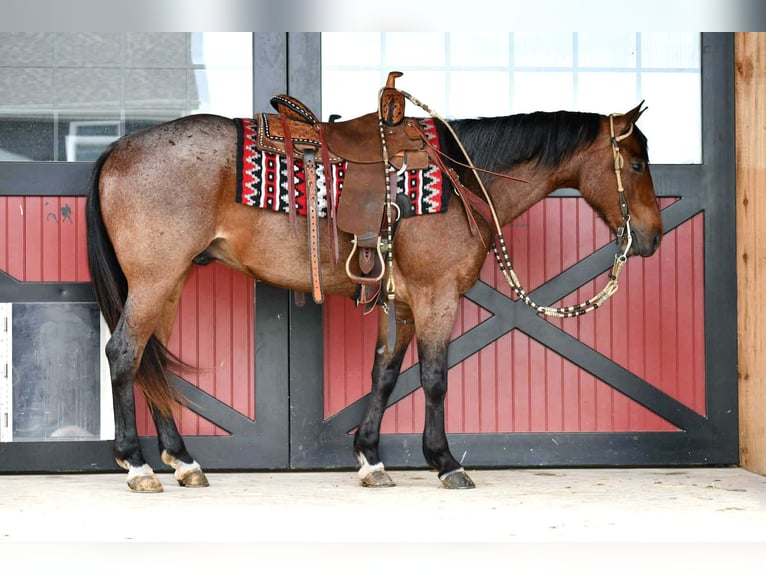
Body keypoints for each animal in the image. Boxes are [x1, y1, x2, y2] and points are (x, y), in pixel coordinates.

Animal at [86, 101, 662, 492]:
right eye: (635, 165)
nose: (653, 238)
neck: (462, 177)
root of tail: (119, 148)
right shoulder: (435, 296)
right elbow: (434, 379)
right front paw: (445, 462)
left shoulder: (402, 303)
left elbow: (384, 374)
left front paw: (370, 459)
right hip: (155, 280)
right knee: (125, 354)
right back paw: (137, 465)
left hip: (170, 283)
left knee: (151, 362)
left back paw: (183, 461)